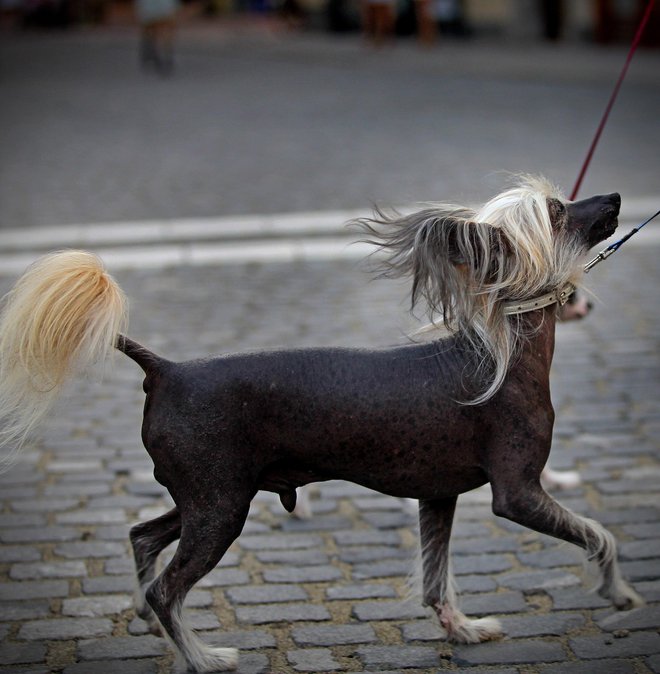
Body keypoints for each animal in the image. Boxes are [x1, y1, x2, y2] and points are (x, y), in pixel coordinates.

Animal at [0, 176, 640, 668]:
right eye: (557, 213)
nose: (614, 197)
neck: (502, 348)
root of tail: (167, 369)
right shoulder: (518, 495)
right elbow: (601, 535)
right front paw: (618, 592)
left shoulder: (437, 497)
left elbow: (435, 579)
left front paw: (461, 630)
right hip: (220, 509)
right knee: (167, 589)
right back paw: (200, 658)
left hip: (206, 498)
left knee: (142, 537)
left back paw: (146, 617)